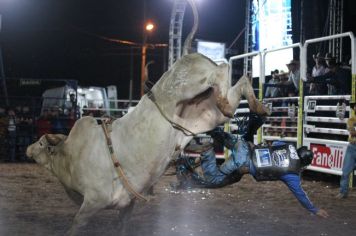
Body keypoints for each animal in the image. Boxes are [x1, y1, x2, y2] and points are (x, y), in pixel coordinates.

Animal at [26, 52, 268, 235]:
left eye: (41, 143)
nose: (28, 148)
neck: (69, 156)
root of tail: (192, 55)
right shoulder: (126, 205)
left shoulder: (93, 201)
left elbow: (76, 225)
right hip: (208, 114)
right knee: (236, 85)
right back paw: (255, 106)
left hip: (189, 87)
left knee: (221, 70)